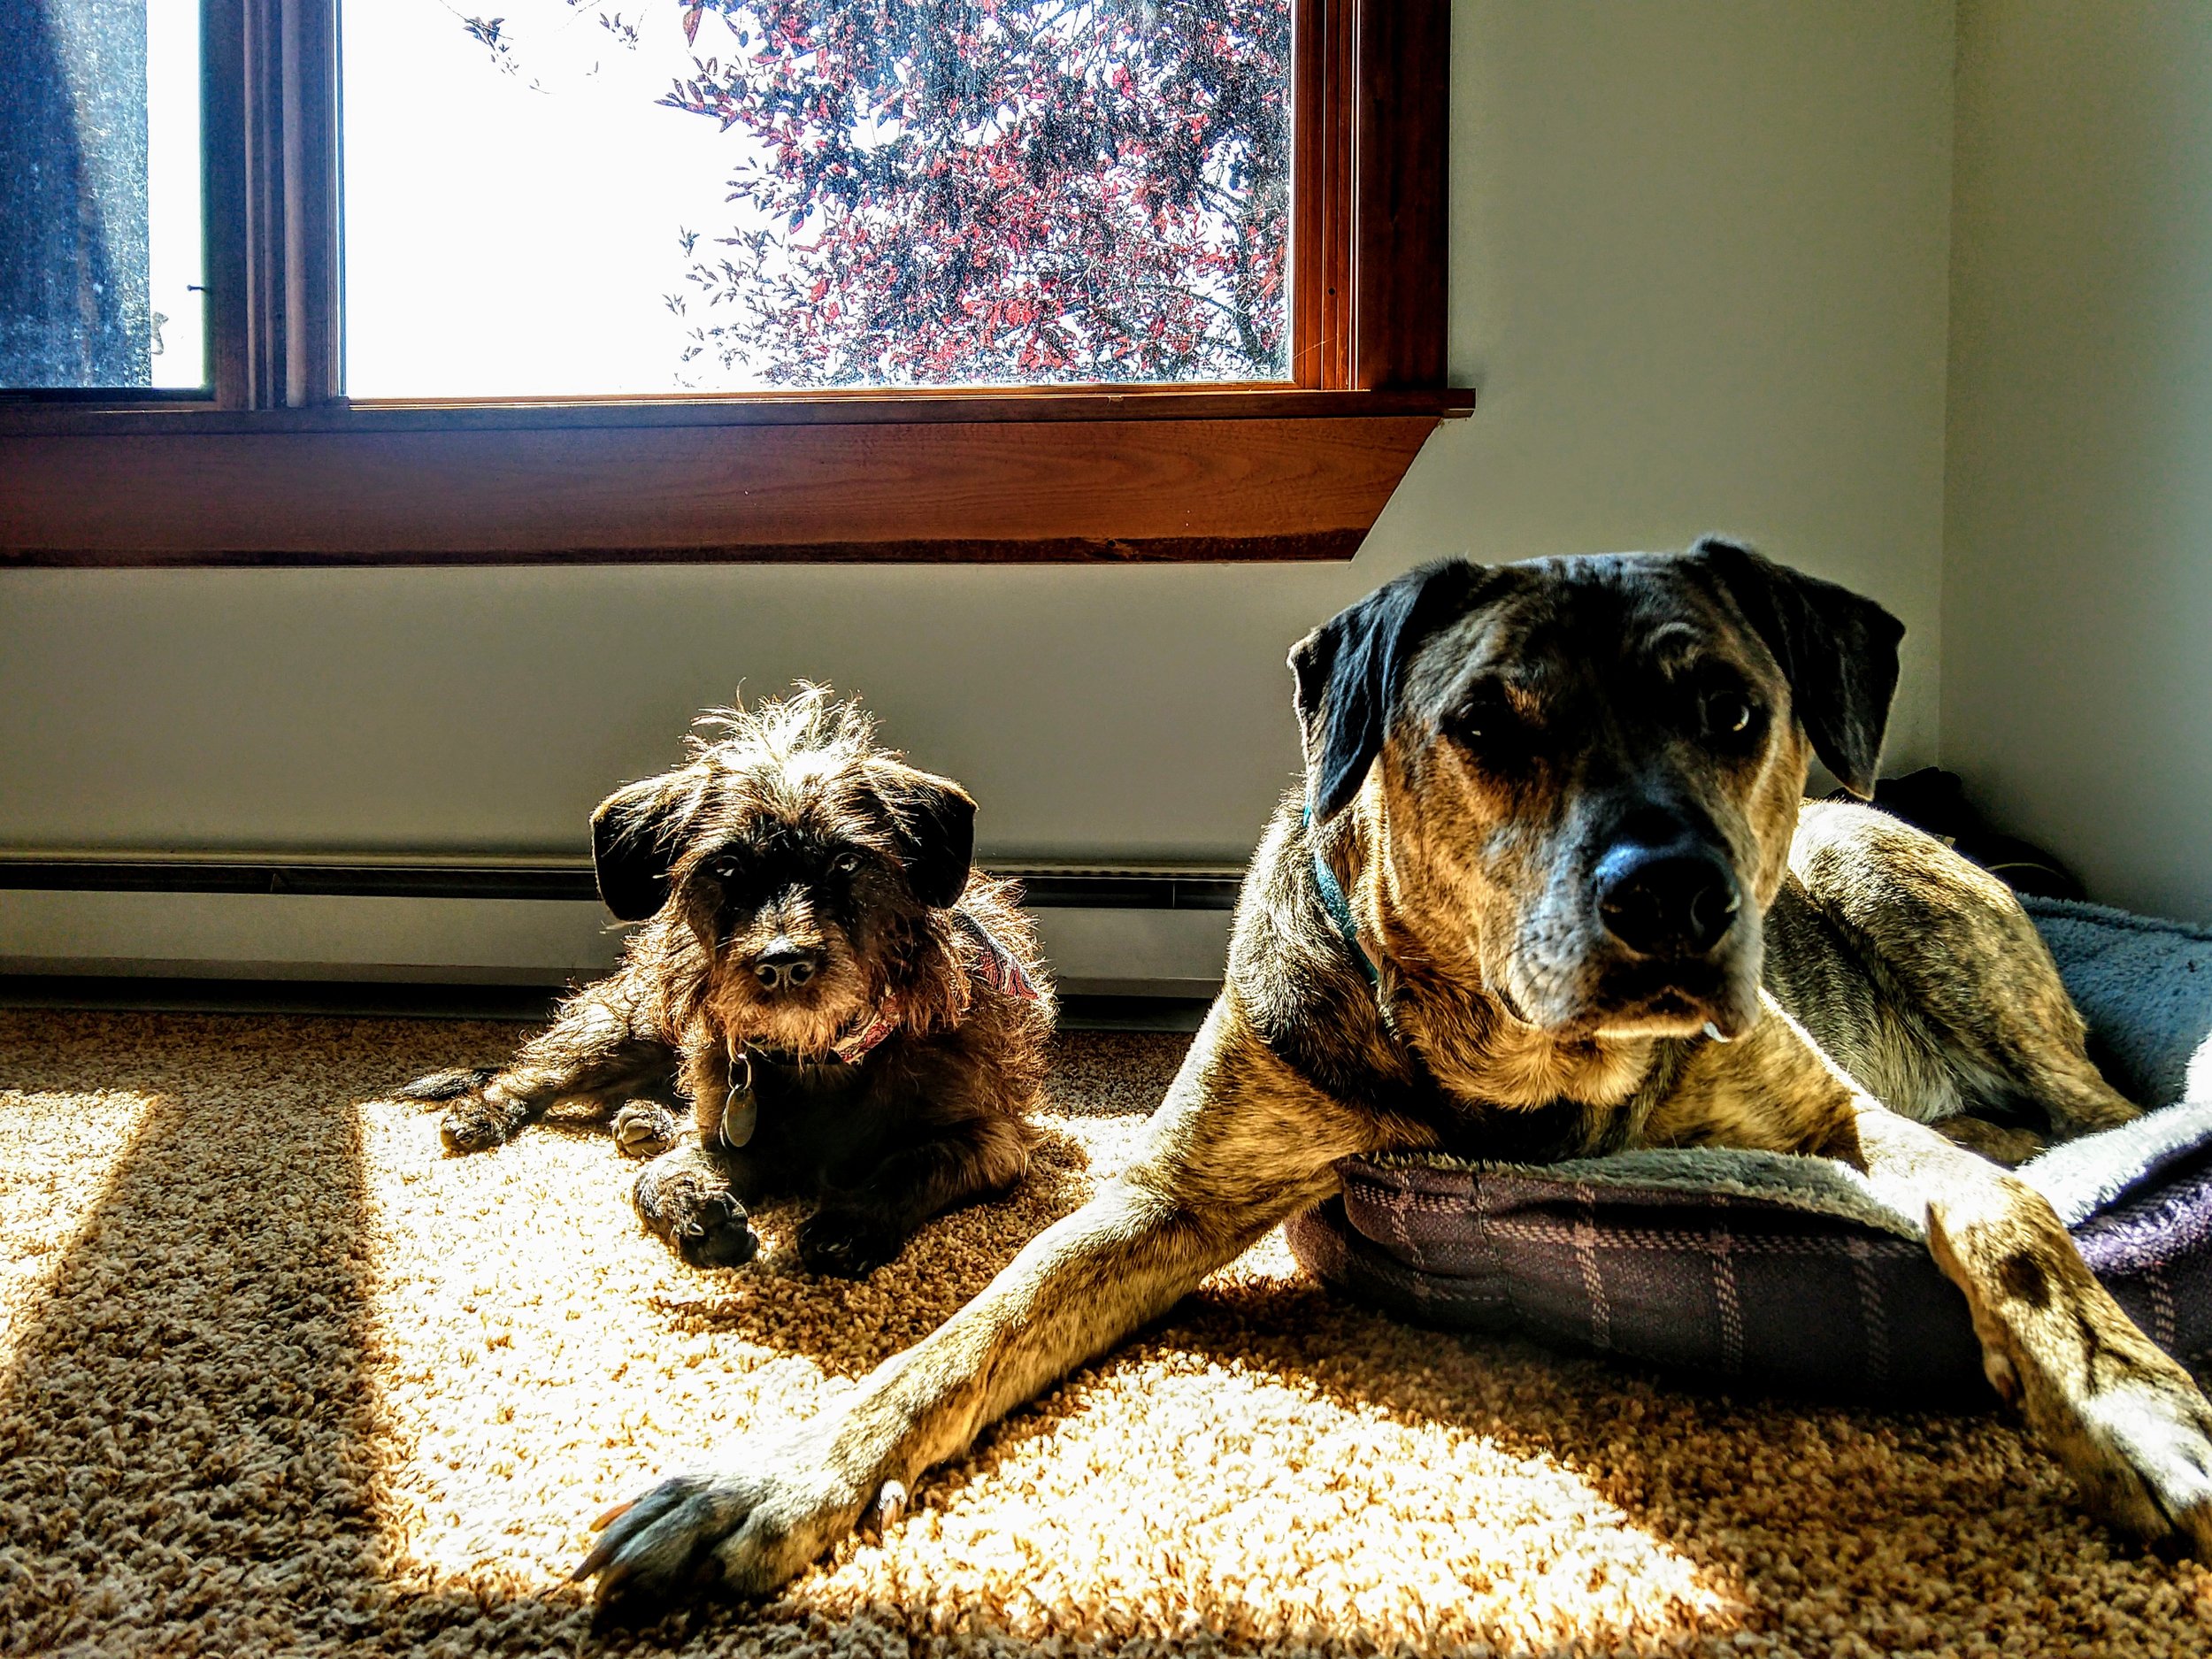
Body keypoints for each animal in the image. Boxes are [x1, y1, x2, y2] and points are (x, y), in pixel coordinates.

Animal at [404, 681, 1053, 1283]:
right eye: (726, 866)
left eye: (847, 861)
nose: (784, 962)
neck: (823, 1057)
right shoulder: (735, 1136)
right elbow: (656, 1176)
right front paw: (696, 1211)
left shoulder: (993, 1141)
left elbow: (910, 1163)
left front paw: (850, 1221)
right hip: (628, 1030)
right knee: (537, 1073)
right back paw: (486, 1114)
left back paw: (646, 1118)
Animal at [575, 540, 2212, 1601]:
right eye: (1485, 723)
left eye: (1733, 713)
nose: (1672, 898)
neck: (1522, 1057)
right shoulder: (1168, 1194)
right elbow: (963, 1333)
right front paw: (770, 1476)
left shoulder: (1838, 1119)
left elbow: (2013, 1219)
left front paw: (2126, 1401)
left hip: (1898, 894)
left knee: (2095, 1115)